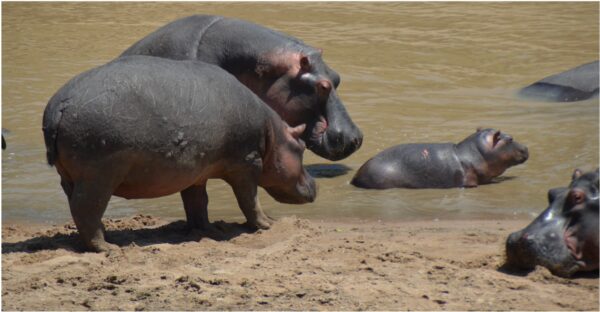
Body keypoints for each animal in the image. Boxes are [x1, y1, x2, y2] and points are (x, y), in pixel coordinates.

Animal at [42, 55, 318, 251]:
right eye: (302, 147)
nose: (315, 184)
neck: (273, 132)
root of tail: (60, 107)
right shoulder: (247, 163)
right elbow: (249, 200)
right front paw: (268, 224)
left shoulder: (196, 174)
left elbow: (197, 203)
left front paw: (209, 231)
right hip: (98, 177)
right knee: (86, 209)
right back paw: (109, 248)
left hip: (71, 177)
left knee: (78, 209)